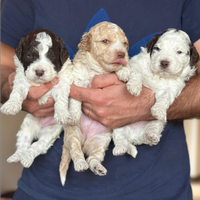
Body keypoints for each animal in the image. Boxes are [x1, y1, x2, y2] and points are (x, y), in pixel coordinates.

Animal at [0, 28, 72, 168]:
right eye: (29, 56)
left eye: (51, 56)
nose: (39, 72)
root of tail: (39, 130)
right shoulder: (21, 80)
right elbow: (16, 92)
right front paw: (11, 106)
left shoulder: (61, 84)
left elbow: (61, 100)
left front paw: (62, 114)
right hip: (27, 125)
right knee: (23, 143)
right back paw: (17, 157)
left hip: (51, 132)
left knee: (38, 146)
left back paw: (26, 159)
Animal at [58, 21, 130, 185]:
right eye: (105, 41)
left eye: (124, 44)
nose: (121, 54)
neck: (98, 69)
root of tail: (85, 143)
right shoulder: (78, 79)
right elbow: (76, 100)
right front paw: (75, 114)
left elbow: (120, 68)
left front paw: (124, 71)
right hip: (73, 135)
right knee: (76, 152)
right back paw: (80, 164)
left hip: (101, 141)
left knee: (93, 157)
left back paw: (101, 165)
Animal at [111, 28, 199, 158]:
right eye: (157, 48)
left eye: (179, 52)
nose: (164, 62)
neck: (159, 76)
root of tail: (134, 136)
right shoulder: (137, 64)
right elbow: (136, 73)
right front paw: (133, 86)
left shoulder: (173, 87)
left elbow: (165, 98)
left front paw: (158, 110)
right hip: (118, 126)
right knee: (120, 138)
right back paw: (120, 149)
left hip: (156, 124)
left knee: (149, 133)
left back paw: (152, 136)